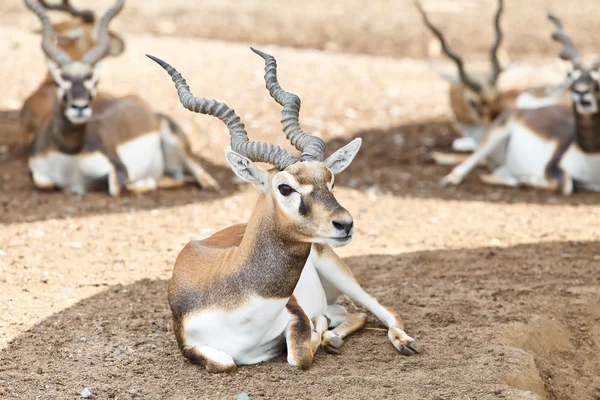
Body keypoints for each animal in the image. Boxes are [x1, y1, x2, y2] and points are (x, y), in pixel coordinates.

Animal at [149, 49, 422, 372]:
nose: (345, 224)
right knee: (350, 313)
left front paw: (317, 333)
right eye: (285, 188)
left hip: (338, 270)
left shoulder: (296, 313)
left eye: (330, 179)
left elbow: (300, 355)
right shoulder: (191, 344)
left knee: (380, 310)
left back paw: (402, 342)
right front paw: (324, 333)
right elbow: (225, 362)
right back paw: (334, 337)